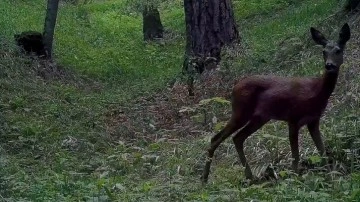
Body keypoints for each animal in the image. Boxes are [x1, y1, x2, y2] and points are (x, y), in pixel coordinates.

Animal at [202, 23, 352, 183]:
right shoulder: (293, 118)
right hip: (240, 111)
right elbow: (295, 157)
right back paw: (205, 178)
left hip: (259, 117)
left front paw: (331, 177)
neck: (315, 91)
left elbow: (322, 150)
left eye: (338, 50)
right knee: (217, 138)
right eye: (324, 51)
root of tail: (234, 88)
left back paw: (250, 177)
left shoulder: (313, 120)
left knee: (237, 138)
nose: (329, 65)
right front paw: (295, 179)